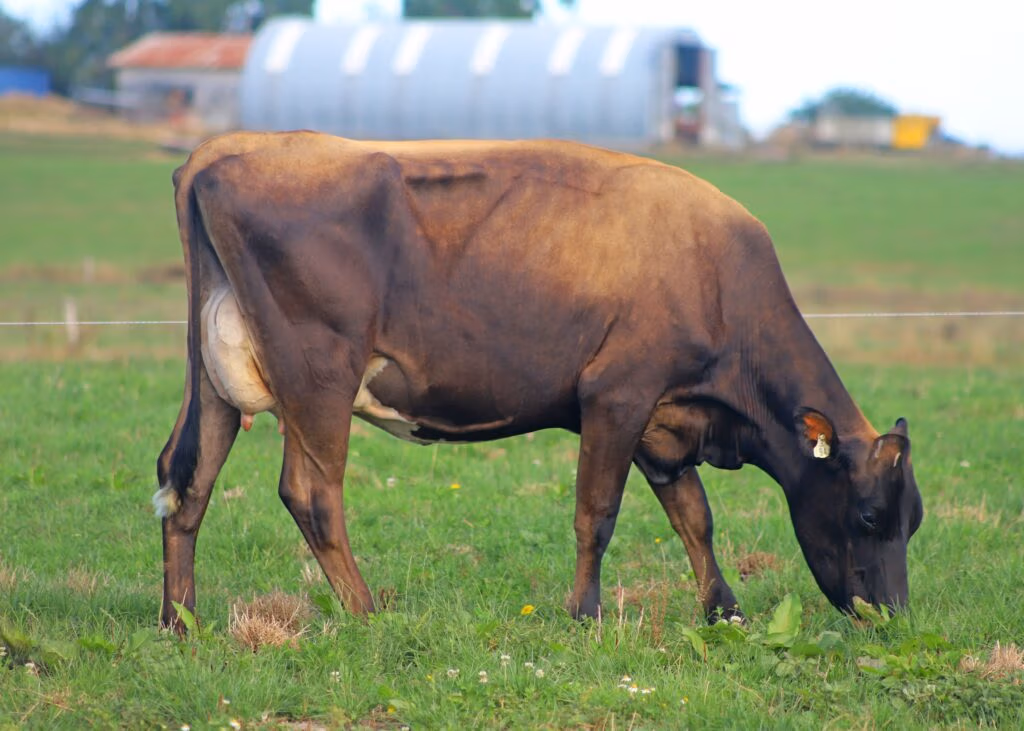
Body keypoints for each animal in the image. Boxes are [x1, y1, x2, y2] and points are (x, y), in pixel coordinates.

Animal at [155, 131, 923, 633]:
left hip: (213, 376)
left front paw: (723, 609)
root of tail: (225, 147)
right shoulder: (617, 394)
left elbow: (695, 517)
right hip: (319, 376)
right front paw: (584, 613)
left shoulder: (663, 422)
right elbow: (598, 513)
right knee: (311, 492)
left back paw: (180, 619)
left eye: (911, 520)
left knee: (185, 477)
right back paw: (367, 612)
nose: (893, 616)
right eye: (867, 516)